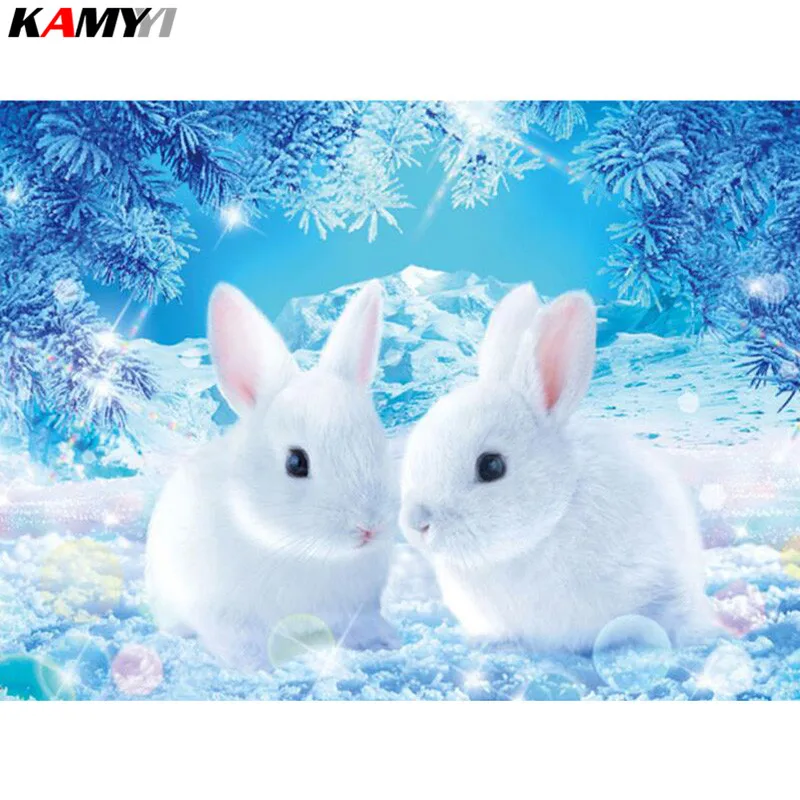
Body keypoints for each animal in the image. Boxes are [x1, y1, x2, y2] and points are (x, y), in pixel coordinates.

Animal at [145, 280, 399, 671]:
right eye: (296, 462)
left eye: (378, 443)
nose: (369, 526)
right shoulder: (226, 617)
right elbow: (241, 644)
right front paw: (257, 667)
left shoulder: (359, 607)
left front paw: (385, 641)